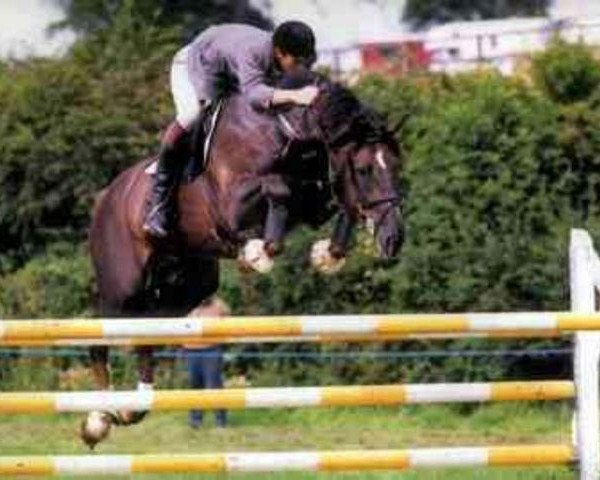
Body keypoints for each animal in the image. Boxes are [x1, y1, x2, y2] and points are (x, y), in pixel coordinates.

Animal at [83, 74, 404, 446]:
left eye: (396, 166)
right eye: (364, 169)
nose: (394, 239)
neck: (288, 134)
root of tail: (105, 196)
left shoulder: (313, 199)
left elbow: (337, 204)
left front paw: (327, 255)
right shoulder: (233, 204)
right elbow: (278, 190)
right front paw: (257, 253)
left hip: (184, 290)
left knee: (144, 336)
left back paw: (134, 406)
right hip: (122, 288)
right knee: (99, 339)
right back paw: (98, 420)